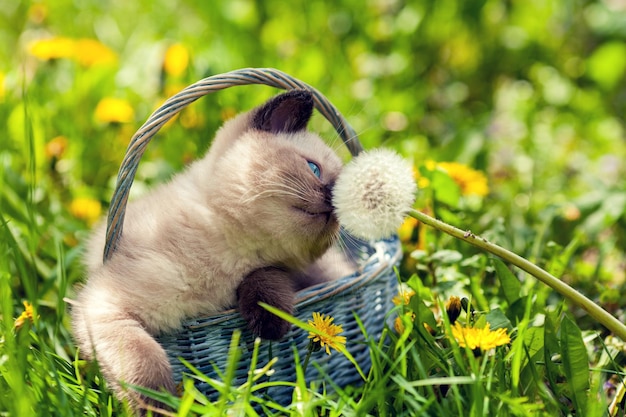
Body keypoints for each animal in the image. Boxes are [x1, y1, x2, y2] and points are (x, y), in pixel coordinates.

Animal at [71, 89, 354, 412]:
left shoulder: (280, 270)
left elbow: (267, 277)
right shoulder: (105, 308)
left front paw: (270, 323)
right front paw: (162, 408)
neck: (232, 250)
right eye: (313, 169)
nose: (332, 203)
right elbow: (144, 365)